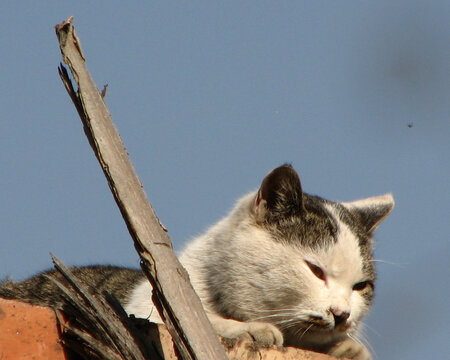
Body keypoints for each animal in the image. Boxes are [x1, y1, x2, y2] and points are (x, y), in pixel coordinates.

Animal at [0, 165, 394, 358]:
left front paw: (347, 347)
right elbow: (200, 320)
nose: (342, 313)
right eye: (315, 270)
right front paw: (247, 328)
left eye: (361, 286)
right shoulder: (149, 311)